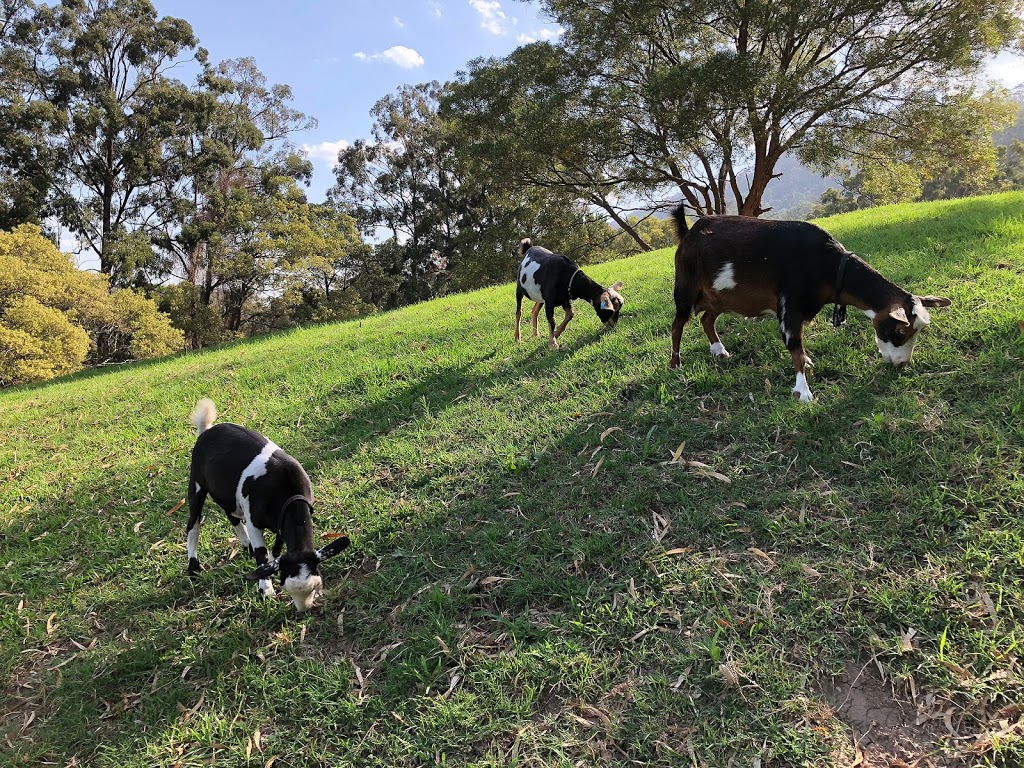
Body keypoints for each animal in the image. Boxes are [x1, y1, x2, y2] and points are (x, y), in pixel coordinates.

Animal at [182, 403, 346, 614]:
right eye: (286, 587)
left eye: (316, 586)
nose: (304, 609)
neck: (286, 487)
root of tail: (207, 430)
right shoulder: (255, 521)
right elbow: (262, 554)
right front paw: (265, 589)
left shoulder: (281, 520)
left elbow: (275, 550)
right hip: (196, 484)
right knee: (193, 524)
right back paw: (193, 567)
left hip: (227, 492)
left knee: (230, 512)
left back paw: (246, 544)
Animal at [663, 210, 950, 403]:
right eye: (900, 331)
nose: (902, 365)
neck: (828, 266)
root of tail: (689, 233)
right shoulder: (789, 305)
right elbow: (795, 348)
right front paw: (803, 391)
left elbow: (800, 348)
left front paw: (808, 363)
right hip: (686, 287)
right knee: (678, 324)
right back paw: (675, 363)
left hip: (719, 296)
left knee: (706, 319)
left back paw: (719, 351)